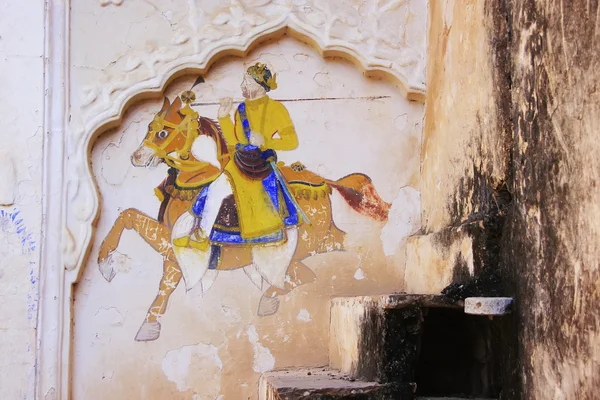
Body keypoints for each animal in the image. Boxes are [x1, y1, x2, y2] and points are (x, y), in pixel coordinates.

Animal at [96, 94, 392, 340]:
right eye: (148, 127)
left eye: (162, 131)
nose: (137, 157)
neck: (193, 181)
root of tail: (323, 182)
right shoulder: (173, 254)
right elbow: (163, 283)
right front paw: (149, 325)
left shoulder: (172, 242)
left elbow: (129, 218)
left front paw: (105, 265)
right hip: (319, 240)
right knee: (334, 253)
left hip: (301, 247)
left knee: (305, 275)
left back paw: (269, 299)